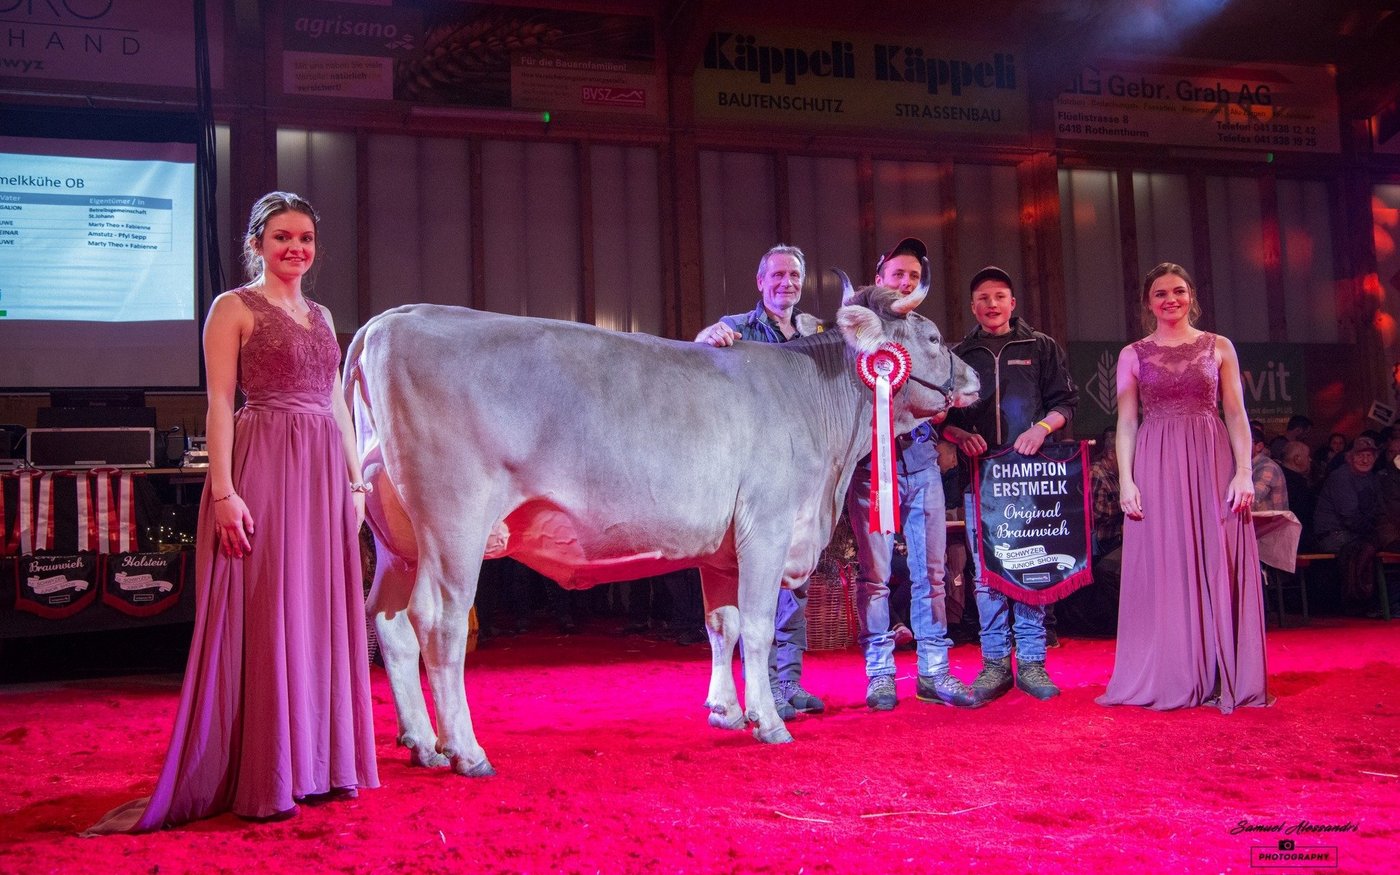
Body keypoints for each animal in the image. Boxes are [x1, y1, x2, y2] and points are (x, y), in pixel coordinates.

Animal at [345, 277, 979, 776]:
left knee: (390, 624)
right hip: (454, 523)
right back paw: (465, 749)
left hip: (398, 540)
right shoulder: (768, 527)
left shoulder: (723, 550)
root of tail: (394, 318)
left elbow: (721, 625)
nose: (973, 378)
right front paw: (769, 720)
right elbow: (757, 627)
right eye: (932, 338)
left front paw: (726, 711)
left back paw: (422, 742)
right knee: (439, 622)